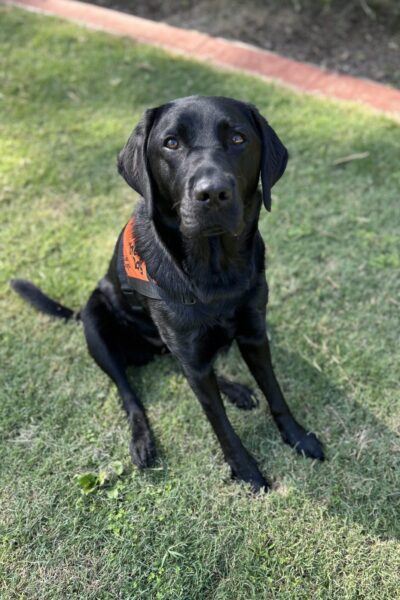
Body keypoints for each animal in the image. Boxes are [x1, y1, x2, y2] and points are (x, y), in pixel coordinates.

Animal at [11, 96, 324, 490]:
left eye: (238, 138)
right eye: (171, 143)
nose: (212, 193)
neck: (215, 271)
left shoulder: (254, 333)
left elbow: (274, 391)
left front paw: (298, 436)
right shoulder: (191, 353)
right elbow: (220, 424)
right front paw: (246, 470)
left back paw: (234, 389)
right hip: (96, 323)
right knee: (130, 395)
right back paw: (142, 440)